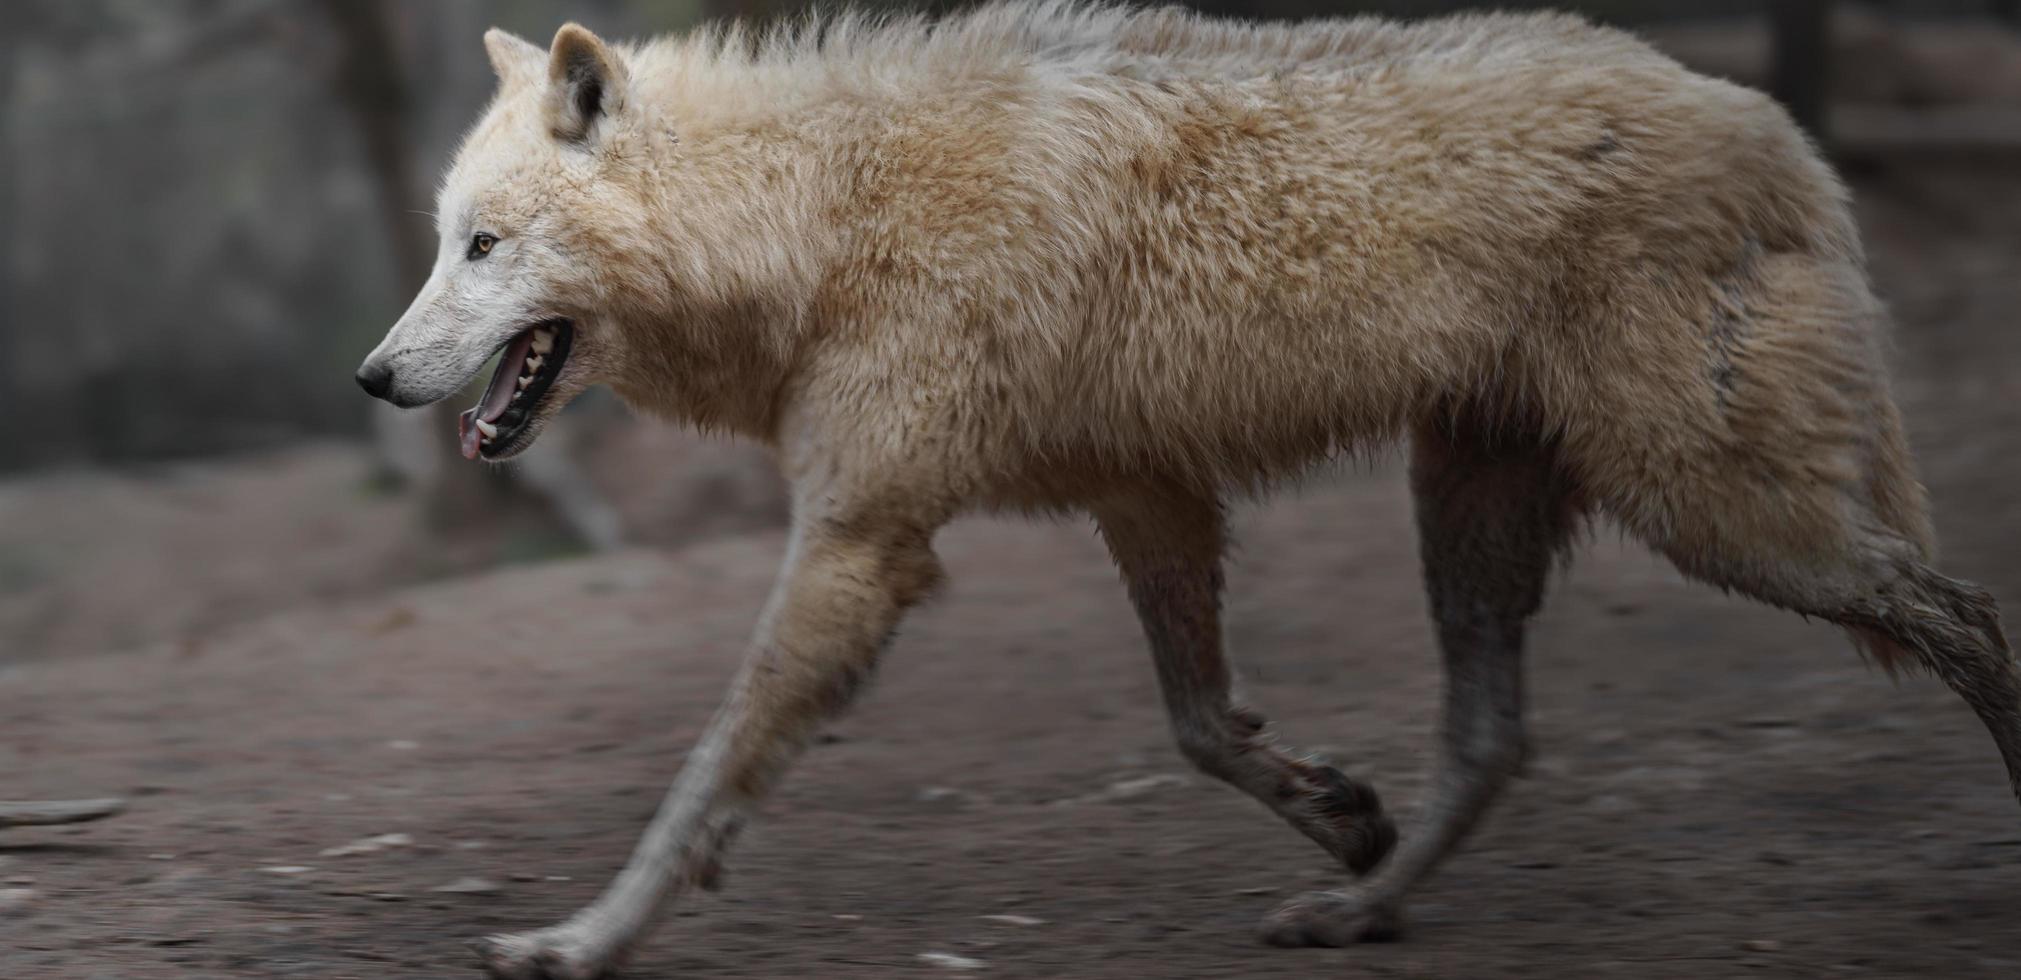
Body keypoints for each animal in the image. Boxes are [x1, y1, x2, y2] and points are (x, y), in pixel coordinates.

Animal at [355, 3, 2012, 973]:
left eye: (482, 247)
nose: (371, 377)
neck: (815, 212)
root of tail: (1776, 128)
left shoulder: (865, 538)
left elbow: (703, 773)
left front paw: (583, 938)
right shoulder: (1144, 497)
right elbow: (1203, 727)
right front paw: (1336, 814)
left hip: (1716, 512)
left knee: (1970, 620)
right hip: (1478, 504)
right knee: (1494, 736)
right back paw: (1361, 905)